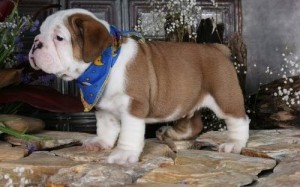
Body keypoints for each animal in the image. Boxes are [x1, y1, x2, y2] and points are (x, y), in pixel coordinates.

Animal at [28, 8, 248, 164]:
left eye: (59, 38)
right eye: (40, 33)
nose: (36, 43)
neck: (107, 63)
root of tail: (216, 48)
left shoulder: (134, 106)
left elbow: (129, 133)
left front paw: (123, 155)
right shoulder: (104, 108)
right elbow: (106, 128)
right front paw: (101, 143)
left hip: (224, 96)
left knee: (239, 120)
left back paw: (234, 144)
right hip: (188, 103)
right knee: (193, 124)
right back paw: (170, 133)